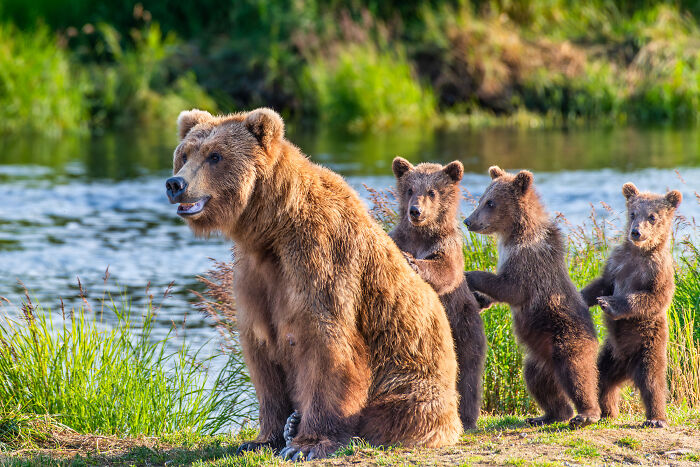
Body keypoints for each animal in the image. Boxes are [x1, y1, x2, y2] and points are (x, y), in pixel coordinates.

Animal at [165, 108, 462, 460]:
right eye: (184, 154)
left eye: (215, 155)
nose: (176, 184)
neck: (272, 227)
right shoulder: (255, 274)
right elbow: (261, 352)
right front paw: (261, 438)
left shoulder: (320, 258)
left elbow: (328, 346)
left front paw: (305, 445)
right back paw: (291, 423)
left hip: (410, 376)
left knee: (401, 408)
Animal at [388, 156, 488, 430]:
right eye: (410, 189)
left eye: (432, 191)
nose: (415, 211)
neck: (421, 236)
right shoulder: (399, 238)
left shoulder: (447, 245)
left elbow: (445, 269)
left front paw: (413, 262)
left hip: (464, 327)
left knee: (468, 372)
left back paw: (466, 417)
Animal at [463, 166, 601, 428]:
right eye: (482, 198)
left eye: (490, 202)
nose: (468, 220)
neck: (514, 233)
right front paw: (480, 299)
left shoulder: (529, 261)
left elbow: (510, 287)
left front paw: (469, 275)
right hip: (538, 359)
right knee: (538, 383)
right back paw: (547, 415)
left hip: (566, 336)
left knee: (577, 372)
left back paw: (586, 414)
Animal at [581, 183, 682, 428]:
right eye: (633, 213)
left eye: (652, 216)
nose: (636, 232)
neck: (639, 252)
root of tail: (627, 369)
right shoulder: (617, 262)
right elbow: (602, 284)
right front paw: (583, 296)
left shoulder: (658, 270)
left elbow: (651, 298)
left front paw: (609, 303)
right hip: (610, 355)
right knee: (602, 379)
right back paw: (607, 411)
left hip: (648, 347)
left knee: (653, 382)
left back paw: (656, 418)